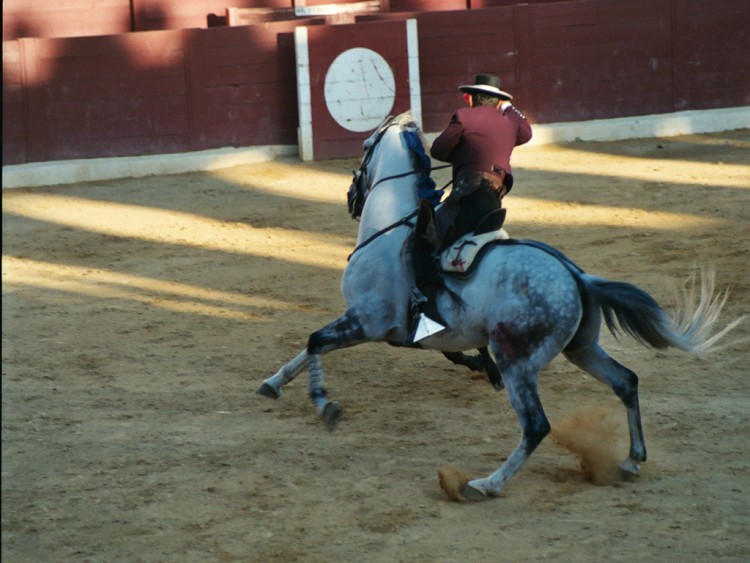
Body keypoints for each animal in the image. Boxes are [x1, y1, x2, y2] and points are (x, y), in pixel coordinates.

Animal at [258, 112, 740, 500]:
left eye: (364, 148)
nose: (351, 199)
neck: (391, 230)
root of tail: (576, 276)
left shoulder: (367, 321)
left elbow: (315, 341)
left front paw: (325, 405)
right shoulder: (382, 324)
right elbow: (310, 345)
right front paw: (273, 383)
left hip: (518, 360)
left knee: (537, 424)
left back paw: (484, 484)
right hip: (581, 348)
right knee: (626, 381)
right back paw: (630, 461)